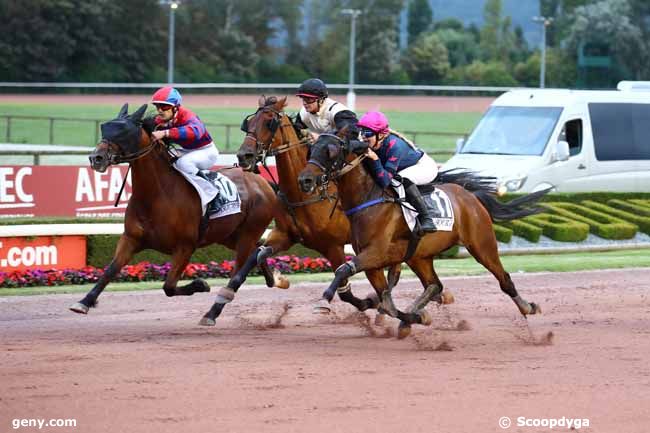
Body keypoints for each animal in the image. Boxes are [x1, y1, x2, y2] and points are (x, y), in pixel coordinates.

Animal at [69, 104, 280, 314]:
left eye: (124, 132)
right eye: (106, 128)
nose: (96, 158)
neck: (156, 195)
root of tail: (263, 182)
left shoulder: (185, 246)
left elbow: (169, 286)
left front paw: (201, 284)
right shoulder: (130, 238)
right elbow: (110, 270)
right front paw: (84, 301)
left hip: (247, 233)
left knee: (241, 265)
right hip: (228, 235)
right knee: (256, 250)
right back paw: (274, 279)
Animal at [296, 128, 544, 338]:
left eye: (330, 151)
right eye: (311, 149)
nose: (304, 180)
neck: (368, 199)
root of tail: (470, 196)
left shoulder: (376, 253)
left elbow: (343, 270)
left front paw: (323, 301)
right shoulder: (373, 262)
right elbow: (386, 303)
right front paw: (416, 318)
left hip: (482, 244)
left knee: (504, 279)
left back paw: (528, 307)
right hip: (419, 256)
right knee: (434, 285)